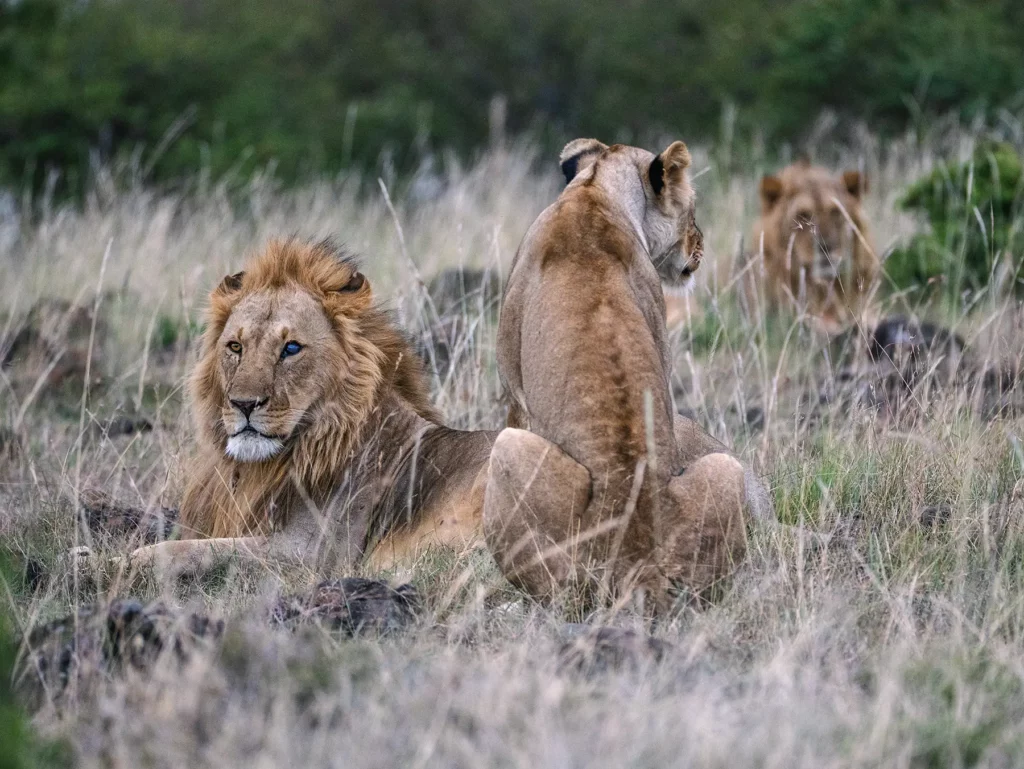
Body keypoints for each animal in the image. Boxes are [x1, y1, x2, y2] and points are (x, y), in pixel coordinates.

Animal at [110, 238, 496, 581]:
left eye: (291, 348)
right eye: (235, 346)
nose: (243, 404)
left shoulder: (313, 553)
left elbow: (200, 549)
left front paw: (122, 562)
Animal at [483, 139, 770, 609]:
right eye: (693, 209)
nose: (701, 244)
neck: (596, 189)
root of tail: (639, 564)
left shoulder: (515, 393)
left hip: (507, 450)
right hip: (727, 468)